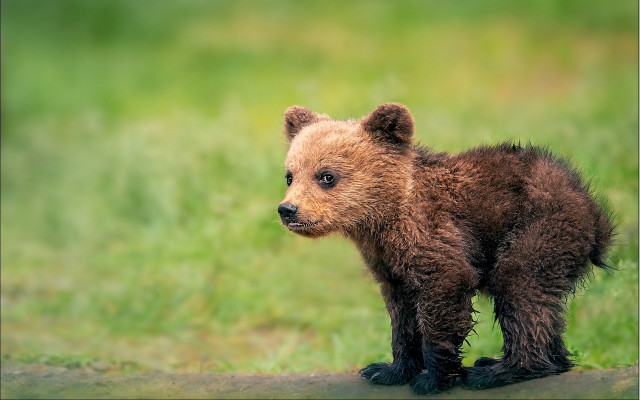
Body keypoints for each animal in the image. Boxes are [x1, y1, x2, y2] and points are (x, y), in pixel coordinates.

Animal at [277, 103, 613, 395]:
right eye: (290, 175)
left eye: (326, 176)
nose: (288, 210)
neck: (384, 218)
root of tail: (595, 214)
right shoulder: (387, 262)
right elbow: (402, 314)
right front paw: (387, 369)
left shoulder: (434, 235)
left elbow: (445, 291)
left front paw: (433, 379)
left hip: (537, 229)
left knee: (520, 287)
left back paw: (497, 370)